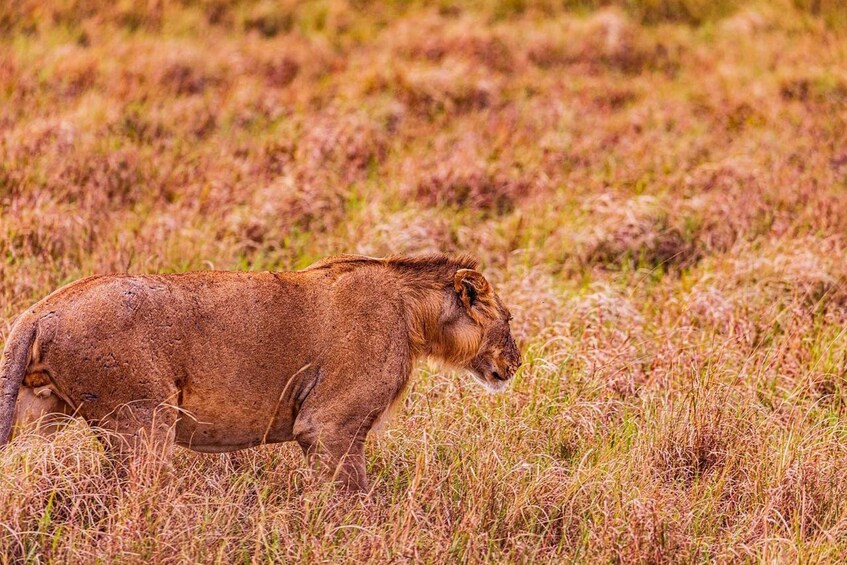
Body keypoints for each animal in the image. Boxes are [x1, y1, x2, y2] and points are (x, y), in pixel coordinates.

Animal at [0, 254, 520, 490]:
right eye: (510, 321)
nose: (517, 363)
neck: (412, 312)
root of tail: (39, 311)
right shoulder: (330, 424)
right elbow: (355, 494)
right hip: (145, 421)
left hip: (31, 410)